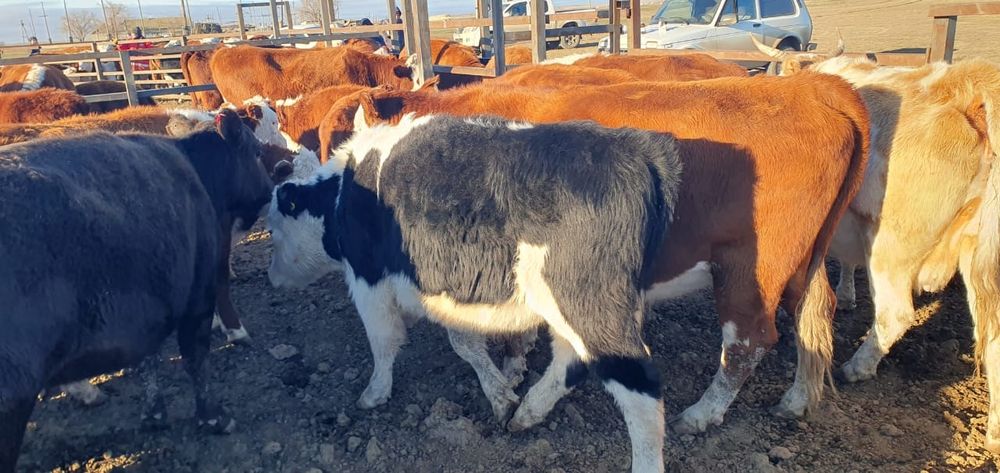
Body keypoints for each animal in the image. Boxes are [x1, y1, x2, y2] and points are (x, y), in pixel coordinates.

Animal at [0, 109, 275, 473]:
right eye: (256, 152)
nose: (270, 190)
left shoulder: (149, 306)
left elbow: (147, 361)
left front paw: (155, 413)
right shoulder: (196, 298)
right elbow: (195, 359)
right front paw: (213, 418)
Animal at [267, 114, 680, 472]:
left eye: (272, 228)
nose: (272, 278)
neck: (342, 194)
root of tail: (638, 150)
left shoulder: (369, 281)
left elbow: (384, 342)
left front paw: (374, 393)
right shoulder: (446, 293)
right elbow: (465, 344)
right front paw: (502, 397)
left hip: (589, 307)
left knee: (638, 386)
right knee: (570, 360)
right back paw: (526, 413)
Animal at [318, 75, 870, 435]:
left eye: (333, 137)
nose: (337, 221)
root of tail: (811, 86)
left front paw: (509, 374)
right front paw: (516, 369)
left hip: (747, 271)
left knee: (749, 342)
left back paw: (701, 414)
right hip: (801, 265)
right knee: (815, 315)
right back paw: (797, 398)